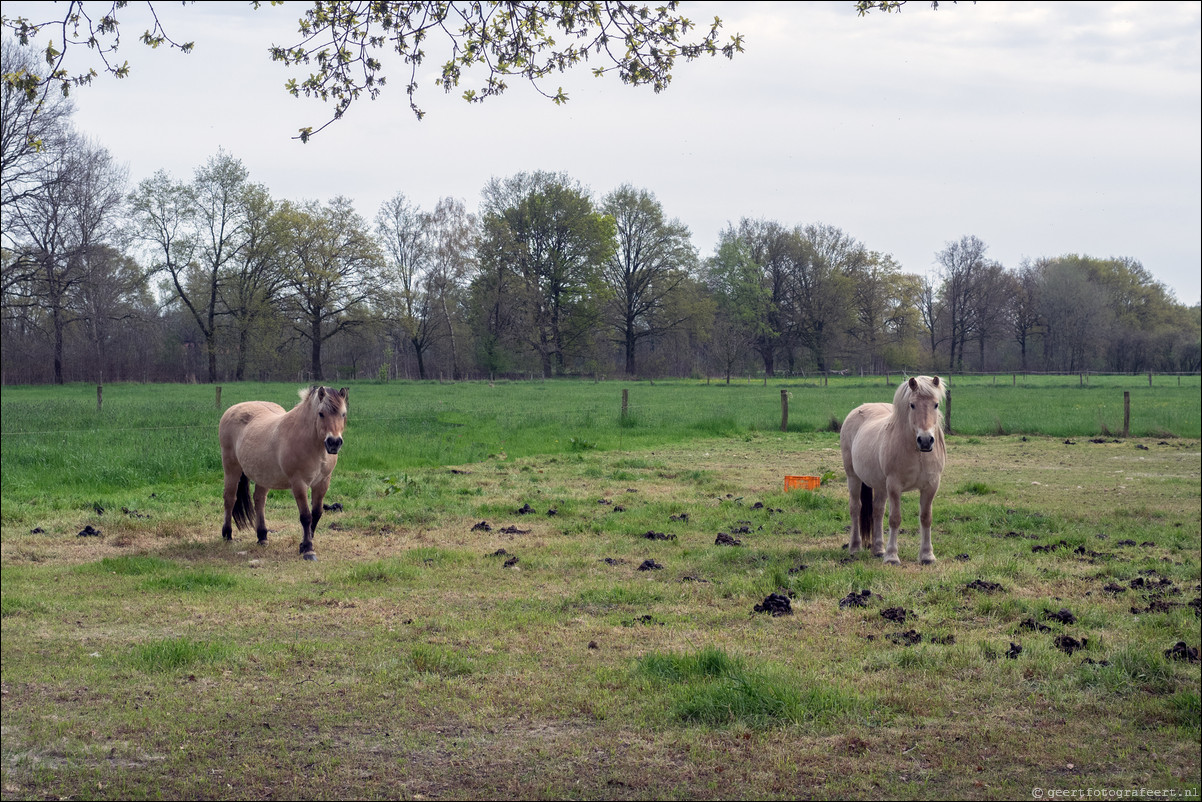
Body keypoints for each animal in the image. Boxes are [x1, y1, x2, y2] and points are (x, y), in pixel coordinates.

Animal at [218, 384, 348, 562]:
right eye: (321, 413)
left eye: (343, 414)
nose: (334, 442)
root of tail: (232, 409)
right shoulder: (299, 483)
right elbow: (306, 516)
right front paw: (308, 550)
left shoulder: (322, 483)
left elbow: (317, 513)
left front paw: (303, 545)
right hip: (231, 468)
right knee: (230, 499)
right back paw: (228, 535)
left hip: (264, 476)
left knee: (259, 500)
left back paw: (262, 536)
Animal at [841, 375, 942, 565]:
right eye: (912, 405)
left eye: (936, 404)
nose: (925, 440)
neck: (916, 452)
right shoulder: (894, 486)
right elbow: (895, 519)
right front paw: (892, 556)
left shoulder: (931, 486)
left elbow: (926, 518)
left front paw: (927, 555)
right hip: (853, 477)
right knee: (855, 508)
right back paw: (855, 547)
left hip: (880, 485)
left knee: (878, 511)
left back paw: (878, 549)